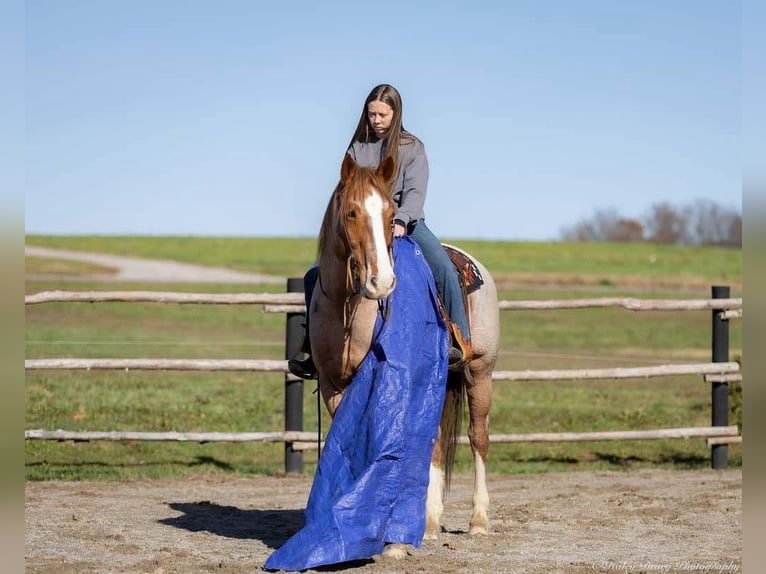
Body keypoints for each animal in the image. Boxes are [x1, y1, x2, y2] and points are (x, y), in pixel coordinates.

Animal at [308, 153, 500, 560]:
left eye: (389, 212)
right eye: (351, 212)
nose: (381, 282)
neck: (350, 309)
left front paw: (390, 540)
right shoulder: (334, 385)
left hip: (481, 372)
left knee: (478, 438)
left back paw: (478, 521)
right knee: (436, 442)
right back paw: (428, 524)